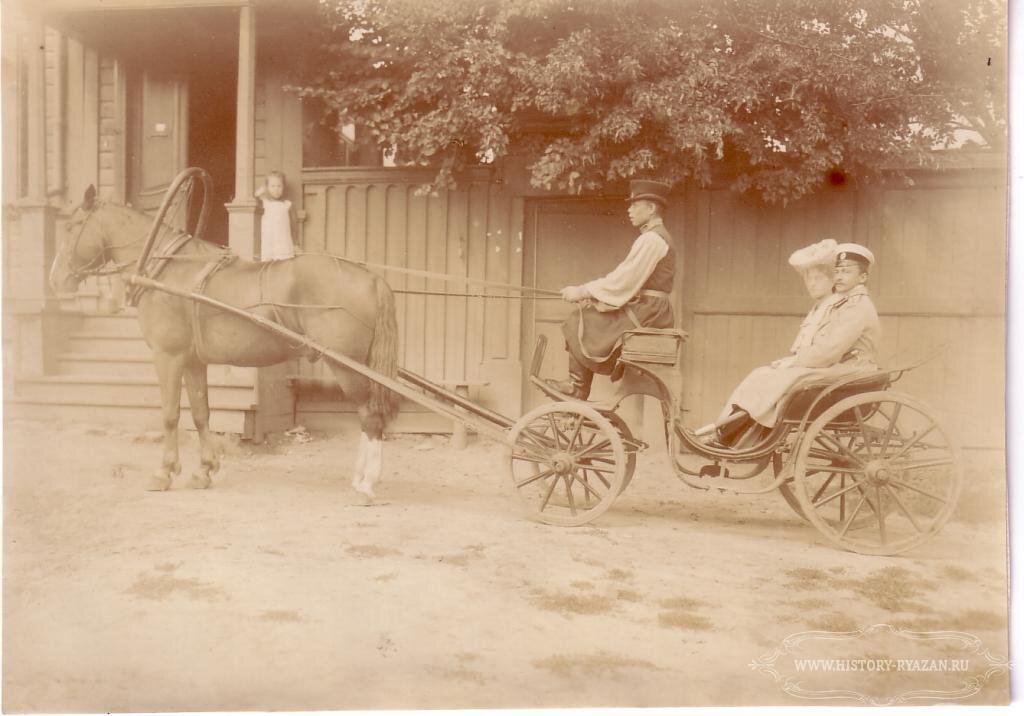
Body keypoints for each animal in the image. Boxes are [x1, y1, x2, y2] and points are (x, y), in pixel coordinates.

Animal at [48, 184, 399, 497]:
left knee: (370, 415)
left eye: (72, 226)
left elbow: (170, 415)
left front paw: (164, 472)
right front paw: (204, 470)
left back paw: (366, 484)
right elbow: (201, 414)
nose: (55, 279)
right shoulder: (192, 361)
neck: (166, 268)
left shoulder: (168, 357)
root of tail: (372, 278)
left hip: (348, 367)